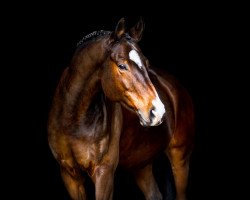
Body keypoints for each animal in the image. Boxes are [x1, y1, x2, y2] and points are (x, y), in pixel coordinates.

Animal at [47, 17, 195, 200]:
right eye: (122, 66)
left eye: (146, 63)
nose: (158, 112)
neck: (73, 120)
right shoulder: (70, 175)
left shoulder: (104, 173)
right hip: (141, 165)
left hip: (180, 159)